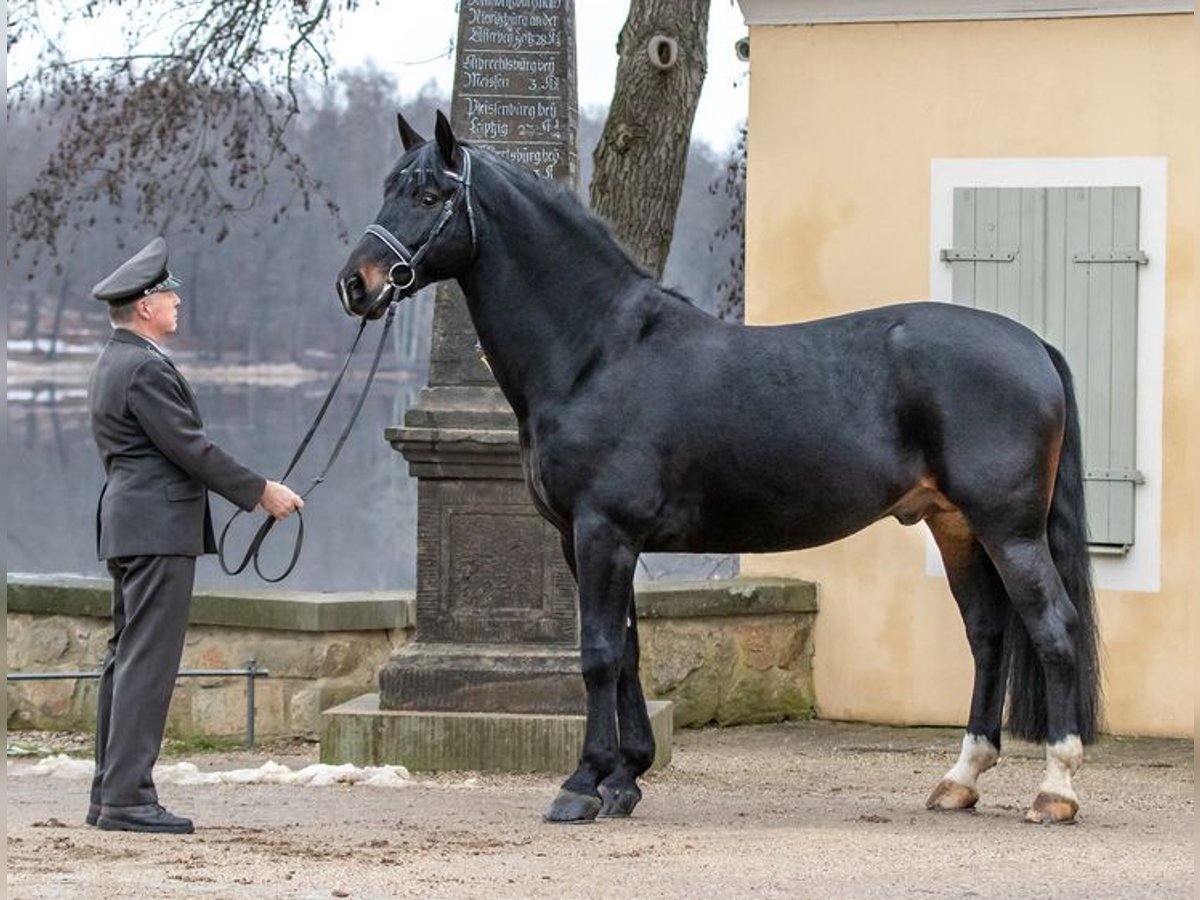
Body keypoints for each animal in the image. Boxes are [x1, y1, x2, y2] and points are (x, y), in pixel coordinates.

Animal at [336, 116, 1099, 830]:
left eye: (429, 193)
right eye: (388, 185)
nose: (356, 284)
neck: (598, 352)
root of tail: (1033, 344)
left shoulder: (601, 532)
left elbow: (598, 652)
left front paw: (582, 784)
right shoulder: (595, 541)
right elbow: (629, 651)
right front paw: (625, 779)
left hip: (1009, 529)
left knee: (1052, 626)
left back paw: (1055, 790)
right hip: (955, 525)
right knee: (989, 635)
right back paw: (960, 779)